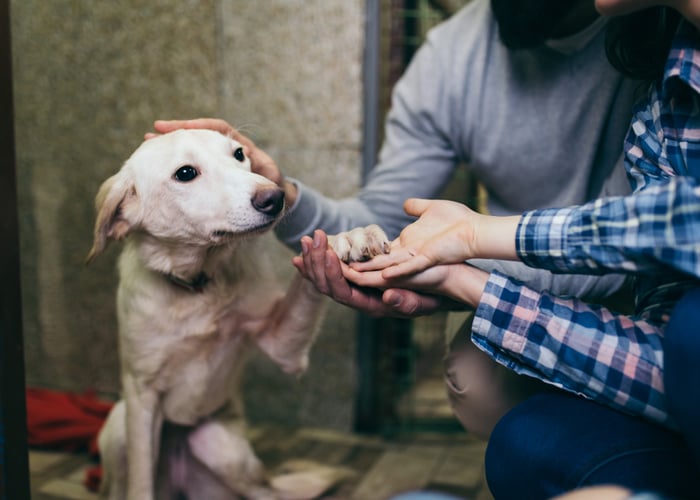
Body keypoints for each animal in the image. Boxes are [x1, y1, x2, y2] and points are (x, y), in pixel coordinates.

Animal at [87, 130, 388, 500]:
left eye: (239, 154)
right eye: (185, 173)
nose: (275, 197)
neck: (198, 285)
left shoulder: (282, 345)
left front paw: (346, 238)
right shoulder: (141, 395)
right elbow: (140, 484)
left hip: (223, 449)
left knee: (267, 493)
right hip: (119, 426)